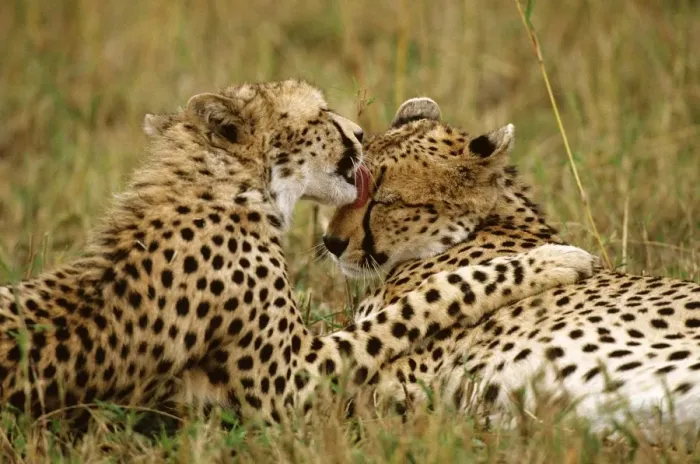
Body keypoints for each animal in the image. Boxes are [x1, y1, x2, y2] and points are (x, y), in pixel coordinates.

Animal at [0, 80, 596, 429]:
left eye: (383, 199)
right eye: (324, 114)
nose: (357, 129)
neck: (224, 188)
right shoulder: (287, 384)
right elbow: (432, 297)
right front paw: (554, 260)